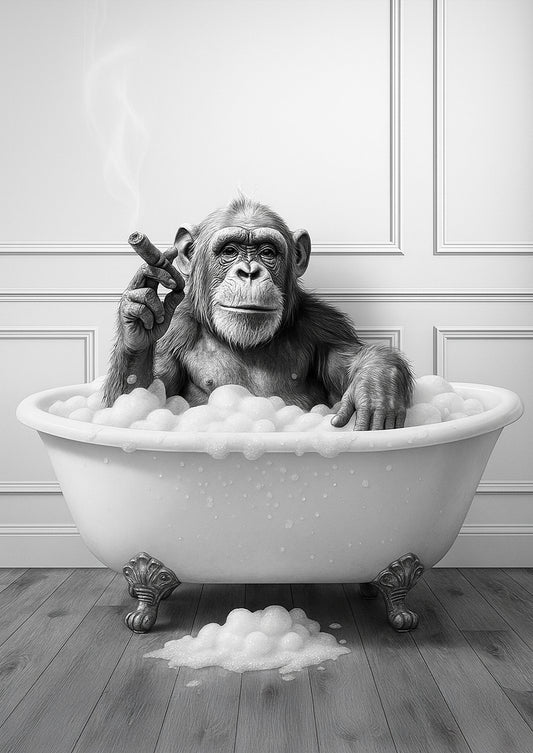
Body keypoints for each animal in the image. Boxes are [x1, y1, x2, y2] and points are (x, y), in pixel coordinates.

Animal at [104, 197, 414, 431]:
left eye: (267, 252)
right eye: (230, 250)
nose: (250, 272)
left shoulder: (325, 327)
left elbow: (351, 359)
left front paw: (376, 387)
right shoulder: (174, 335)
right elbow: (137, 398)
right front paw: (139, 315)